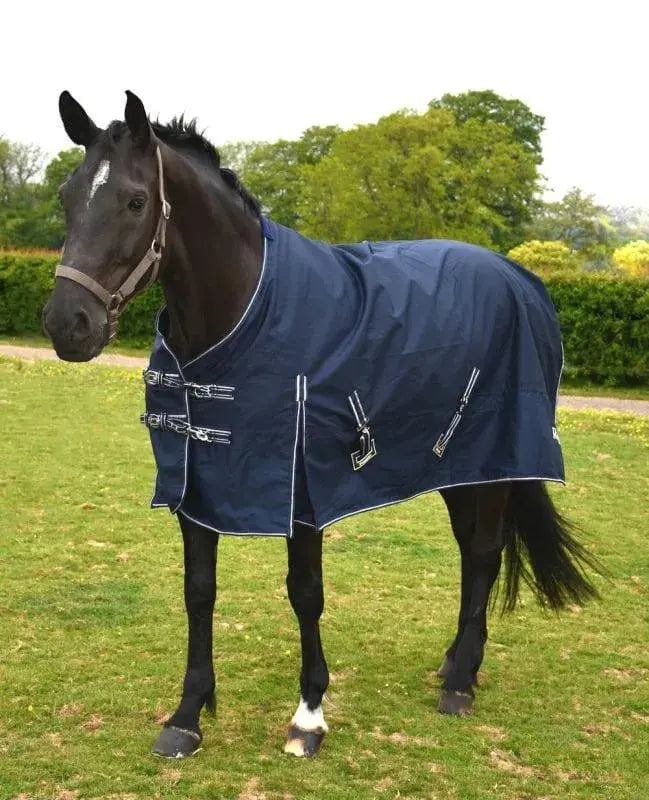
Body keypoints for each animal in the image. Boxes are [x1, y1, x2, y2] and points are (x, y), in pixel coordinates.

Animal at [42, 91, 601, 760]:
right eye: (68, 196)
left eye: (134, 200)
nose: (68, 323)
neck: (244, 314)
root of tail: (520, 279)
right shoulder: (196, 486)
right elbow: (198, 590)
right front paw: (187, 715)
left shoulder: (304, 492)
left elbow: (305, 593)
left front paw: (308, 715)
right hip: (457, 468)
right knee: (471, 553)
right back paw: (455, 663)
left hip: (495, 464)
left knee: (486, 554)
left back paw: (460, 685)